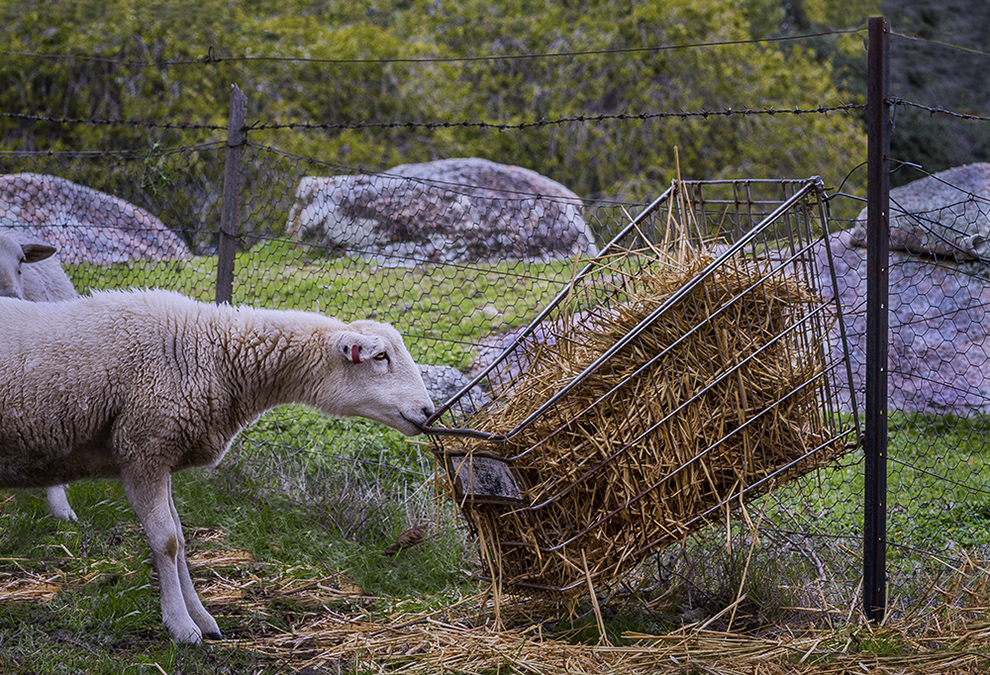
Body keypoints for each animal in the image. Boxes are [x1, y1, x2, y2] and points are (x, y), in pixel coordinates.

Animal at [0, 286, 436, 644]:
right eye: (381, 356)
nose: (429, 412)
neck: (210, 350)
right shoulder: (143, 448)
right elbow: (166, 541)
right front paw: (181, 627)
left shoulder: (162, 455)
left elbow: (180, 539)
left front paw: (202, 618)